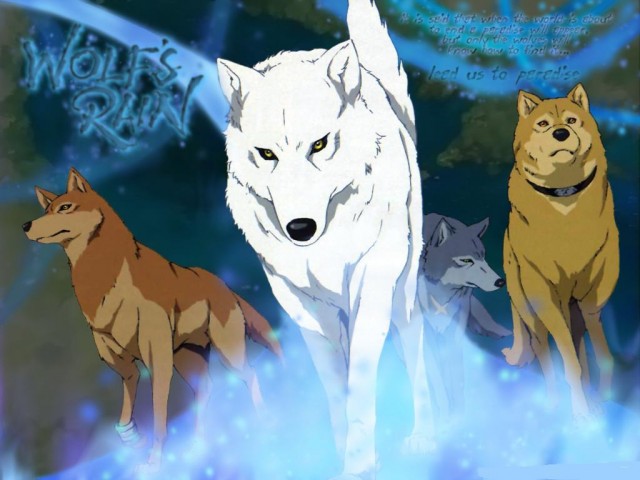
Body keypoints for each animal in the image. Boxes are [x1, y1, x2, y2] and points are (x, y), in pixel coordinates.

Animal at [23, 168, 281, 472]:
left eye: (65, 208)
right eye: (47, 210)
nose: (26, 225)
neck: (105, 278)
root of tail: (225, 287)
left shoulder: (157, 359)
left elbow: (159, 414)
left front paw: (154, 462)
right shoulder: (114, 355)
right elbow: (130, 387)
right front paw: (130, 436)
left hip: (229, 355)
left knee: (250, 374)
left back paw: (265, 422)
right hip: (187, 361)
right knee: (206, 390)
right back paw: (197, 446)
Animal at [216, 0, 424, 477]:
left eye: (320, 144)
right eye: (266, 153)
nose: (300, 228)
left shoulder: (371, 289)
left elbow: (359, 386)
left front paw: (360, 464)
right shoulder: (302, 307)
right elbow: (335, 387)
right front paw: (342, 454)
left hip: (402, 295)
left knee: (416, 348)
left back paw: (427, 435)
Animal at [413, 214, 510, 421]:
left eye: (483, 256)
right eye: (466, 260)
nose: (500, 281)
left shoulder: (456, 333)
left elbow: (456, 375)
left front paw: (459, 414)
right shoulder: (425, 337)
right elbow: (435, 375)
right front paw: (444, 414)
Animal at [502, 84, 618, 418]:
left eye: (571, 120)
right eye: (543, 124)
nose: (561, 133)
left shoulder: (590, 301)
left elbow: (602, 357)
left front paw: (600, 400)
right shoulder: (545, 296)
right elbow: (569, 363)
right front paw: (580, 416)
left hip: (571, 309)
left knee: (577, 345)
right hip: (531, 311)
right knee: (543, 351)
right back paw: (553, 404)